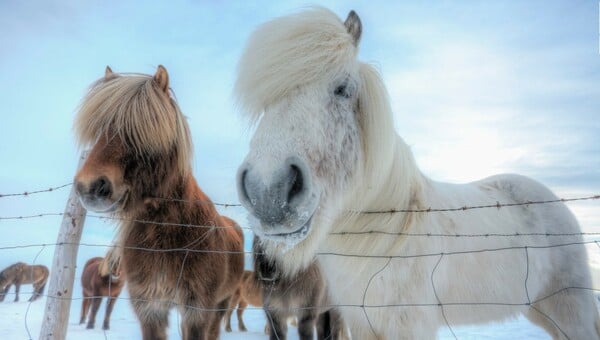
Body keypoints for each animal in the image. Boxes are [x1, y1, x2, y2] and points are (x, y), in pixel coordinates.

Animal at [72, 65, 244, 338]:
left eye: (143, 129)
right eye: (99, 129)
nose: (89, 186)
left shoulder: (196, 311)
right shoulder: (150, 309)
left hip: (219, 305)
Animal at [234, 6, 600, 338]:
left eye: (343, 88)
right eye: (265, 101)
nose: (268, 191)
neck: (386, 233)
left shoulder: (407, 326)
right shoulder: (361, 323)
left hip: (569, 308)